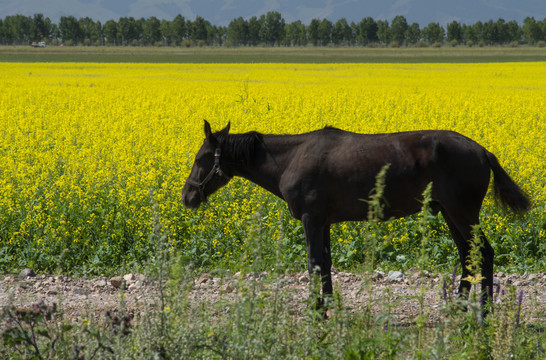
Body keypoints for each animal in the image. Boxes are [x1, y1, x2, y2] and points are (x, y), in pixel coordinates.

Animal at [182, 120, 528, 310]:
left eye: (201, 158)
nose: (187, 196)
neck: (292, 157)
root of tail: (482, 151)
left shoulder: (311, 219)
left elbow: (314, 263)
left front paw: (316, 308)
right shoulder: (323, 221)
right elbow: (325, 264)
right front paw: (328, 304)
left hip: (461, 213)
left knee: (483, 253)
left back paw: (484, 309)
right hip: (450, 214)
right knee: (468, 254)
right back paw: (460, 305)